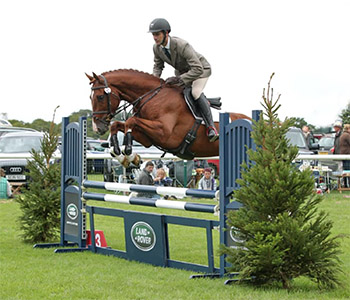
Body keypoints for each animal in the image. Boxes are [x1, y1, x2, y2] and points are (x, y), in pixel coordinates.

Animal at [86, 69, 250, 168]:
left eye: (100, 97)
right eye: (90, 97)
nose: (97, 128)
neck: (153, 97)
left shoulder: (165, 134)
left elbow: (130, 122)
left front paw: (128, 150)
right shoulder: (148, 139)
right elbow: (118, 125)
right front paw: (126, 157)